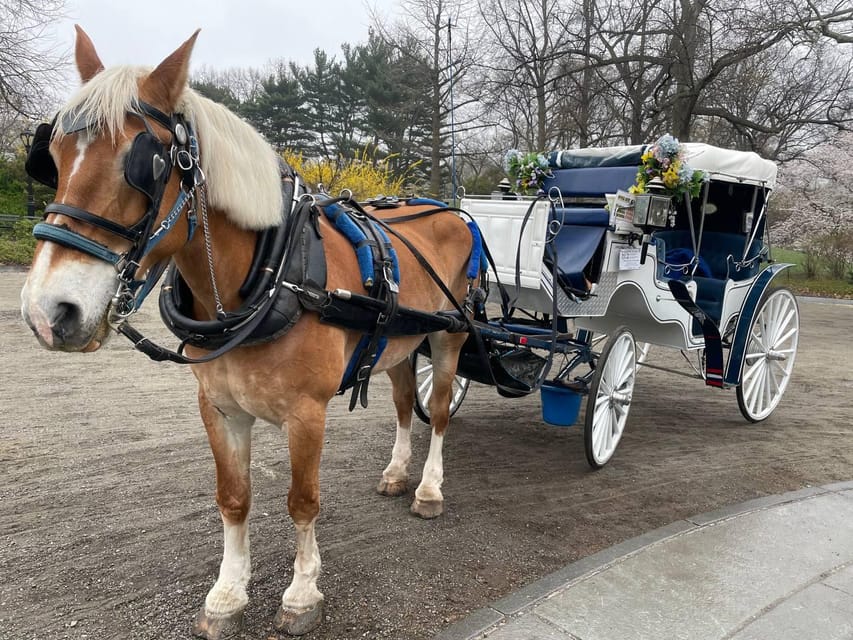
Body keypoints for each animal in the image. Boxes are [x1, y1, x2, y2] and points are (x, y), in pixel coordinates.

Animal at [18, 27, 480, 636]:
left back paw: (428, 488)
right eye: (51, 157)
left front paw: (302, 594)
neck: (270, 277)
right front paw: (227, 594)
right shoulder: (220, 409)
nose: (49, 310)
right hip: (400, 342)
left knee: (442, 411)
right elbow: (233, 498)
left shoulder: (307, 414)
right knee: (406, 403)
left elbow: (302, 500)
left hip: (450, 336)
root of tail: (447, 209)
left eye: (148, 165)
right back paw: (398, 471)